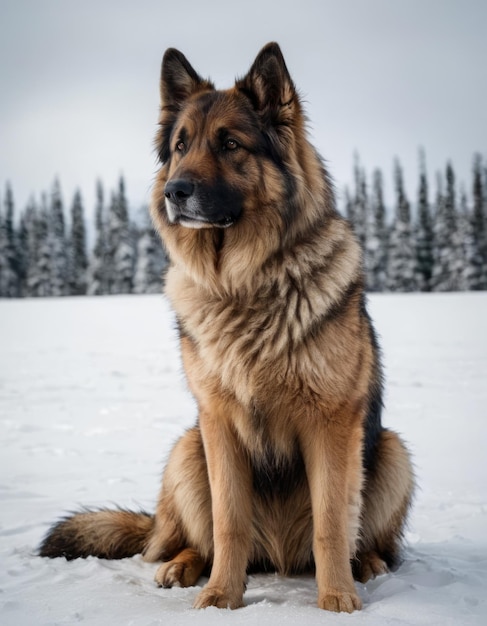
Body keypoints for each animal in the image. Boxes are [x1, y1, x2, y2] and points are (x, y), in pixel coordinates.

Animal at [40, 42, 414, 608]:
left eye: (230, 143)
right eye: (180, 146)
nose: (175, 192)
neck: (244, 285)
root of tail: (279, 557)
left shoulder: (330, 425)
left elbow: (332, 523)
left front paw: (336, 600)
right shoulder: (219, 424)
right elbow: (227, 521)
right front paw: (220, 596)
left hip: (391, 453)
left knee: (366, 536)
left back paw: (365, 564)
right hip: (188, 450)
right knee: (191, 538)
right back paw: (181, 565)